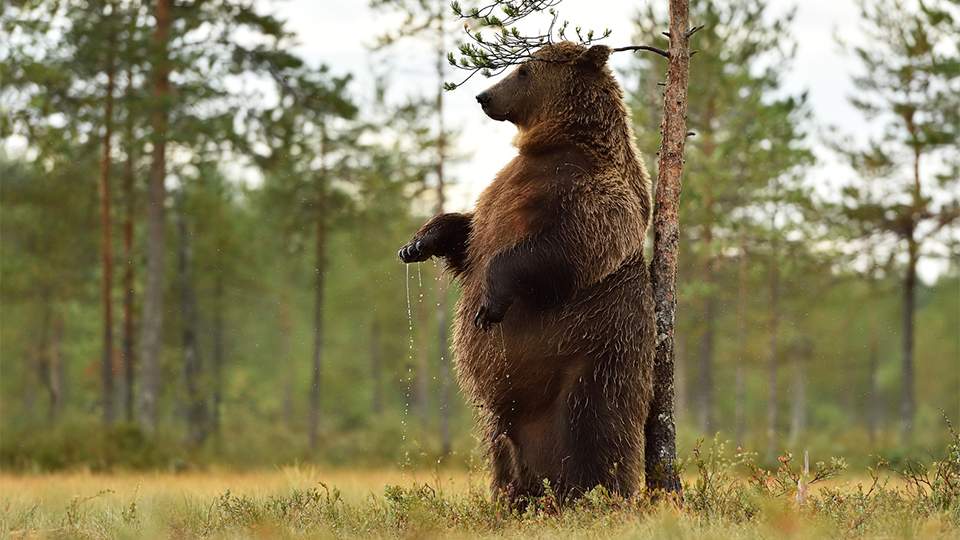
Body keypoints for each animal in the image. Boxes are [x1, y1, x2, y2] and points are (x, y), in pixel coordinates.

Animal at [396, 42, 652, 502]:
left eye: (523, 71)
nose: (483, 96)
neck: (557, 144)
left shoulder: (593, 193)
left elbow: (564, 245)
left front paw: (489, 305)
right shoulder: (503, 191)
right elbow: (467, 234)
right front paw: (418, 243)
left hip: (595, 358)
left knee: (597, 428)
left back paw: (599, 494)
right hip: (502, 422)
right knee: (501, 452)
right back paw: (513, 497)